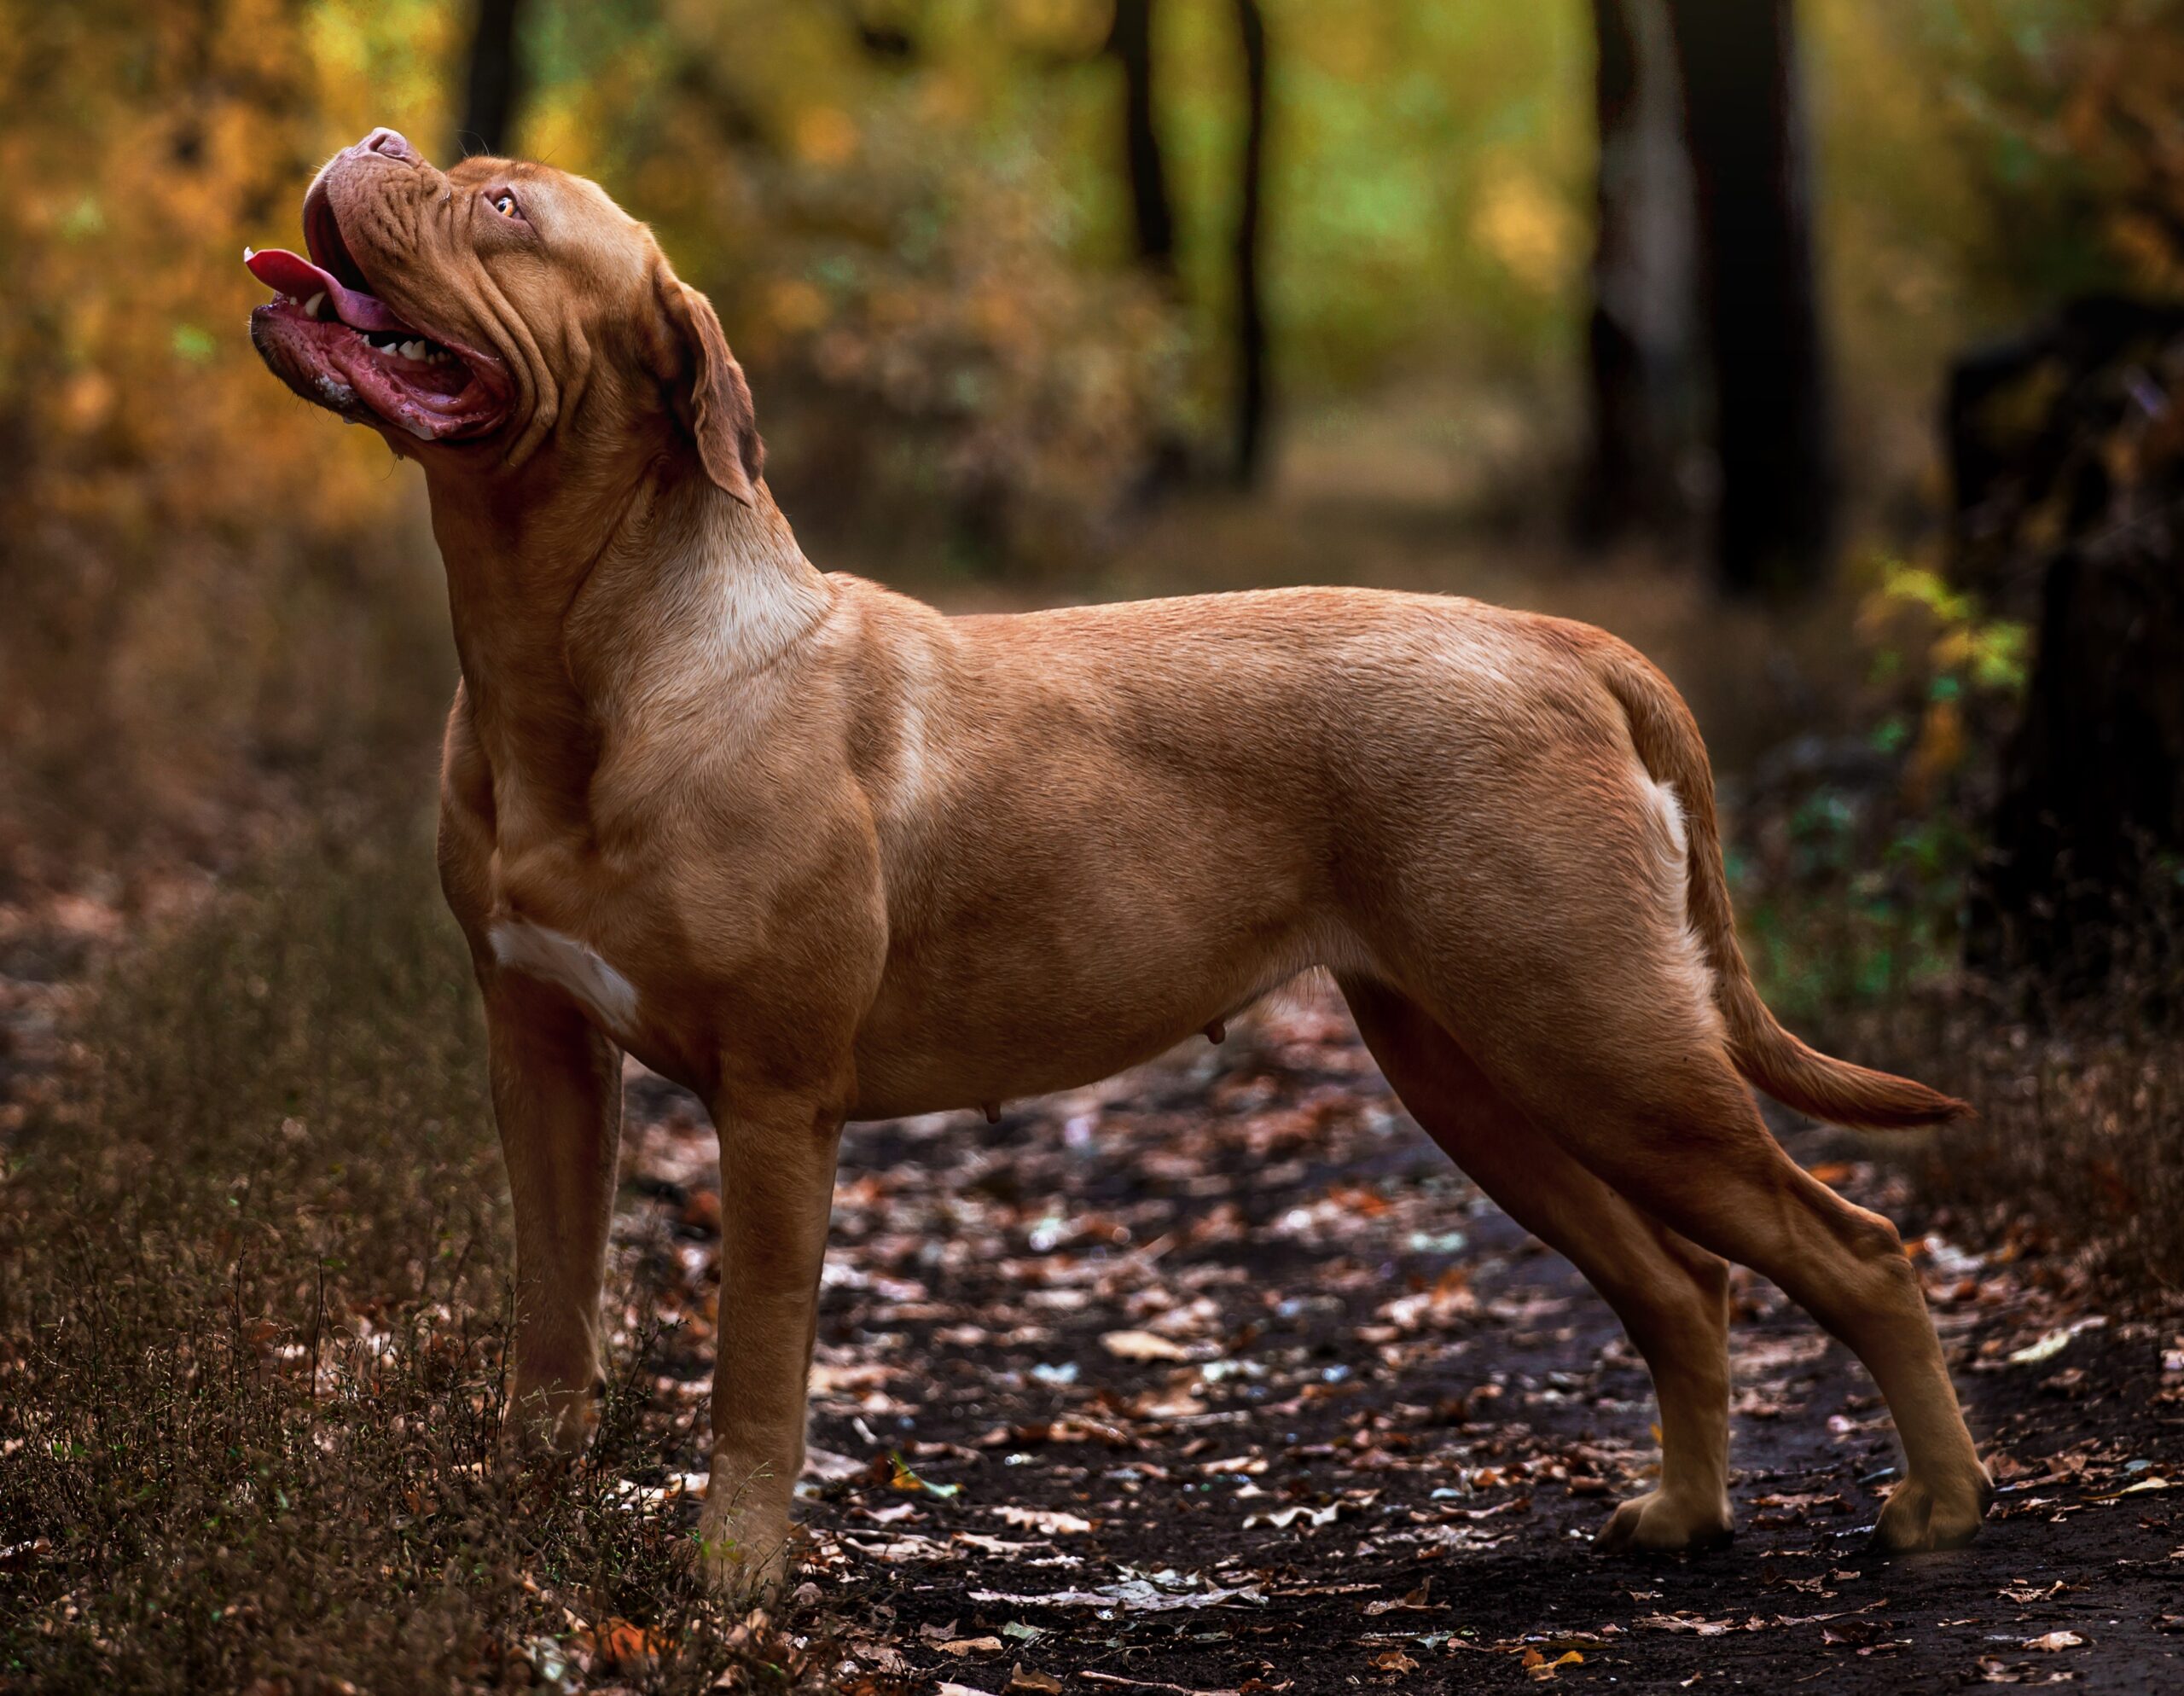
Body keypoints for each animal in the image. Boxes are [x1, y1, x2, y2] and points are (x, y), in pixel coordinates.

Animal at [247, 128, 1991, 1589]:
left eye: (502, 207)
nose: (381, 138)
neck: (582, 662)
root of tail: (1566, 643)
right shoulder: (540, 1049)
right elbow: (552, 1317)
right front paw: (521, 1520)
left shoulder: (776, 1098)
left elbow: (755, 1365)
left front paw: (732, 1576)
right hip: (1483, 1068)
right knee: (1683, 1285)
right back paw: (1687, 1511)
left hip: (1605, 1042)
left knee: (1859, 1250)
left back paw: (1938, 1506)